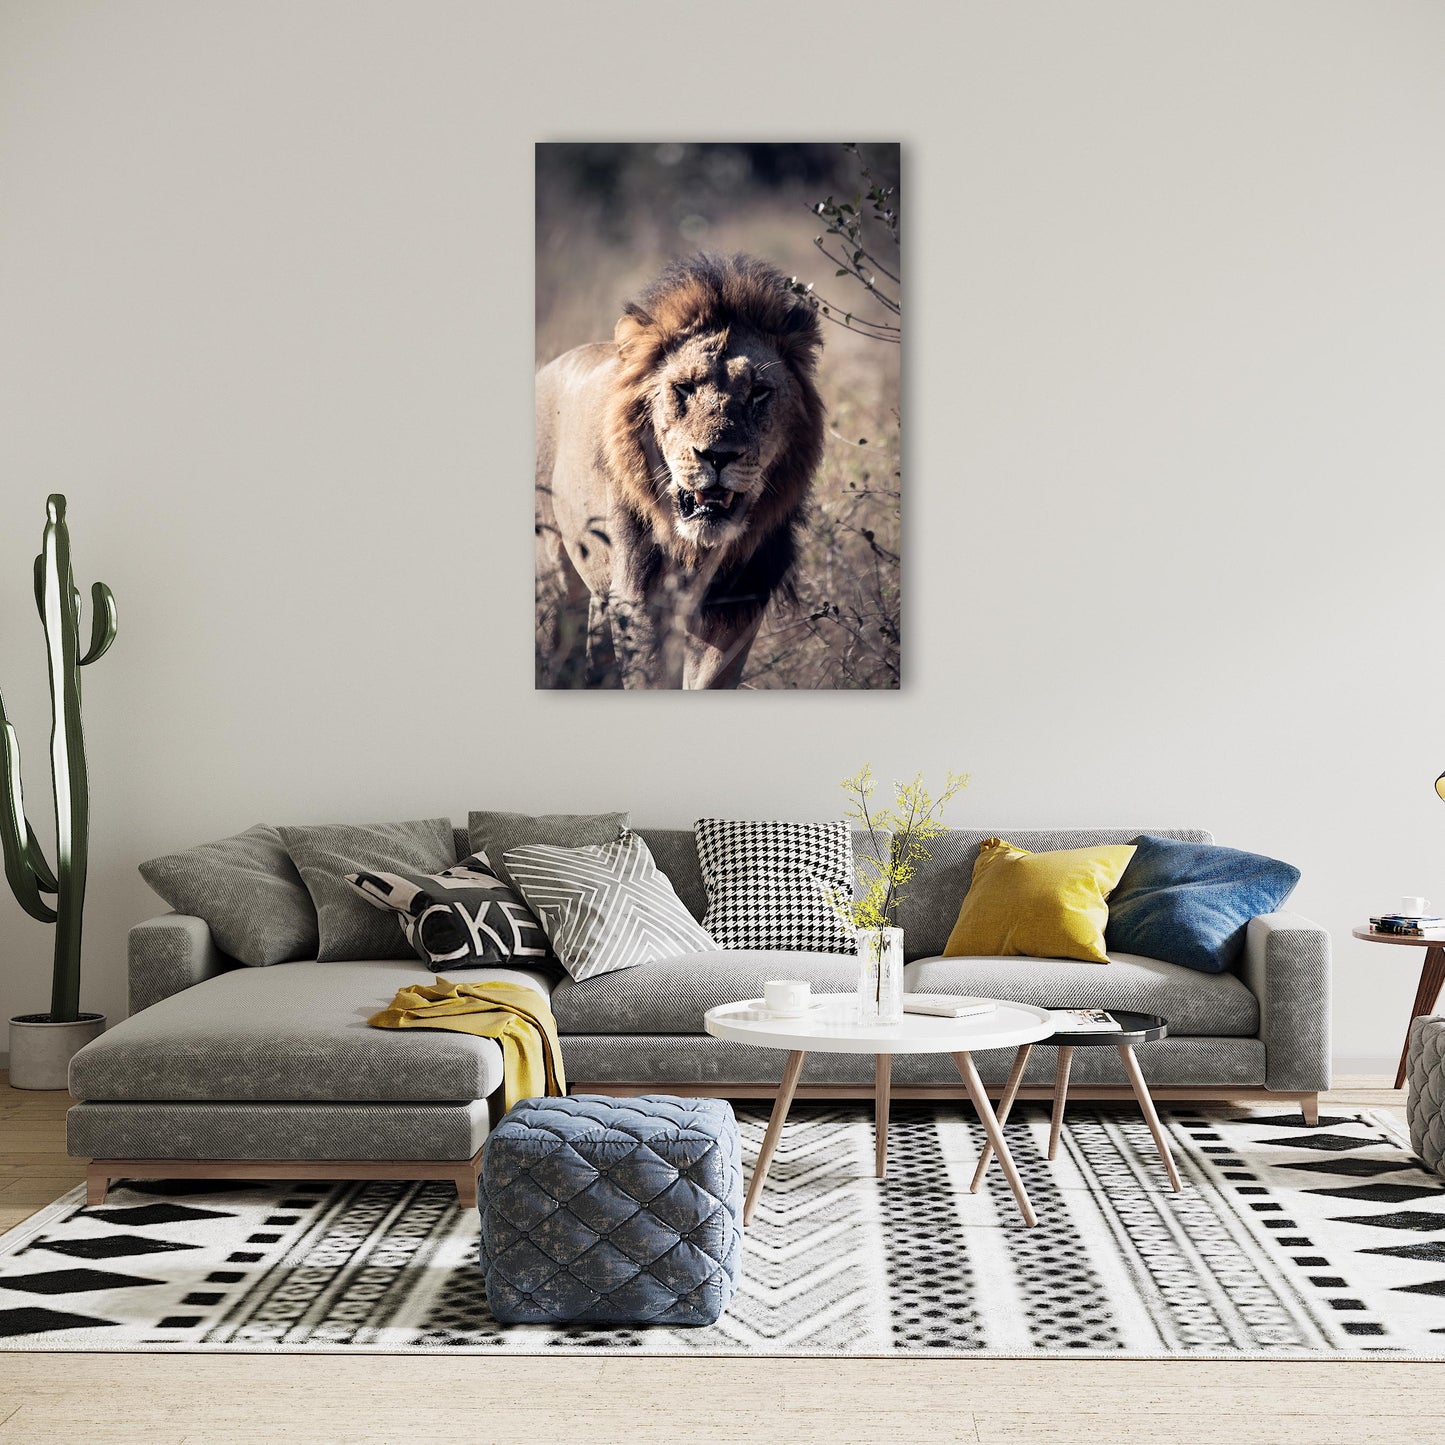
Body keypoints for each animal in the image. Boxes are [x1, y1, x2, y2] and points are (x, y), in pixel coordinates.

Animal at [536, 252, 825, 689]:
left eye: (758, 392)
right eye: (684, 388)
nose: (718, 456)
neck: (697, 550)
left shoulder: (737, 606)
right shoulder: (639, 600)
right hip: (554, 581)